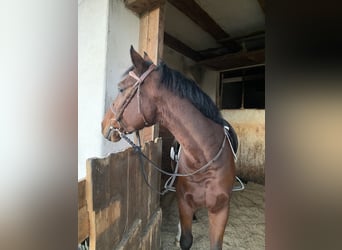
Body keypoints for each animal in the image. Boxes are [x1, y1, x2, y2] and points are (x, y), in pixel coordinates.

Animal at [100, 46, 236, 249]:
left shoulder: (221, 209)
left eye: (121, 88)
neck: (205, 159)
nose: (103, 124)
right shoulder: (184, 202)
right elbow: (186, 240)